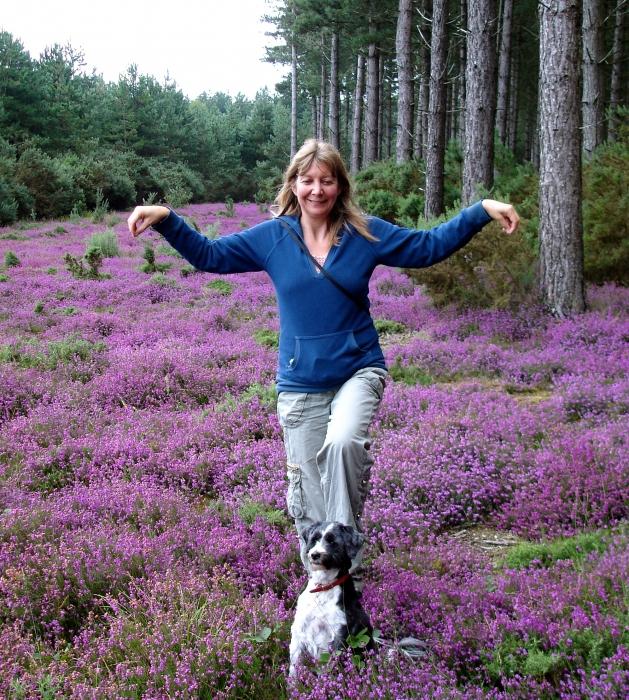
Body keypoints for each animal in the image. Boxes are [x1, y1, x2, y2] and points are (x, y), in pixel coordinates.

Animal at [290, 524, 372, 676]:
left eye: (333, 542)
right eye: (314, 539)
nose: (315, 554)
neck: (323, 587)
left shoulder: (339, 634)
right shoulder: (299, 630)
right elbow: (293, 666)